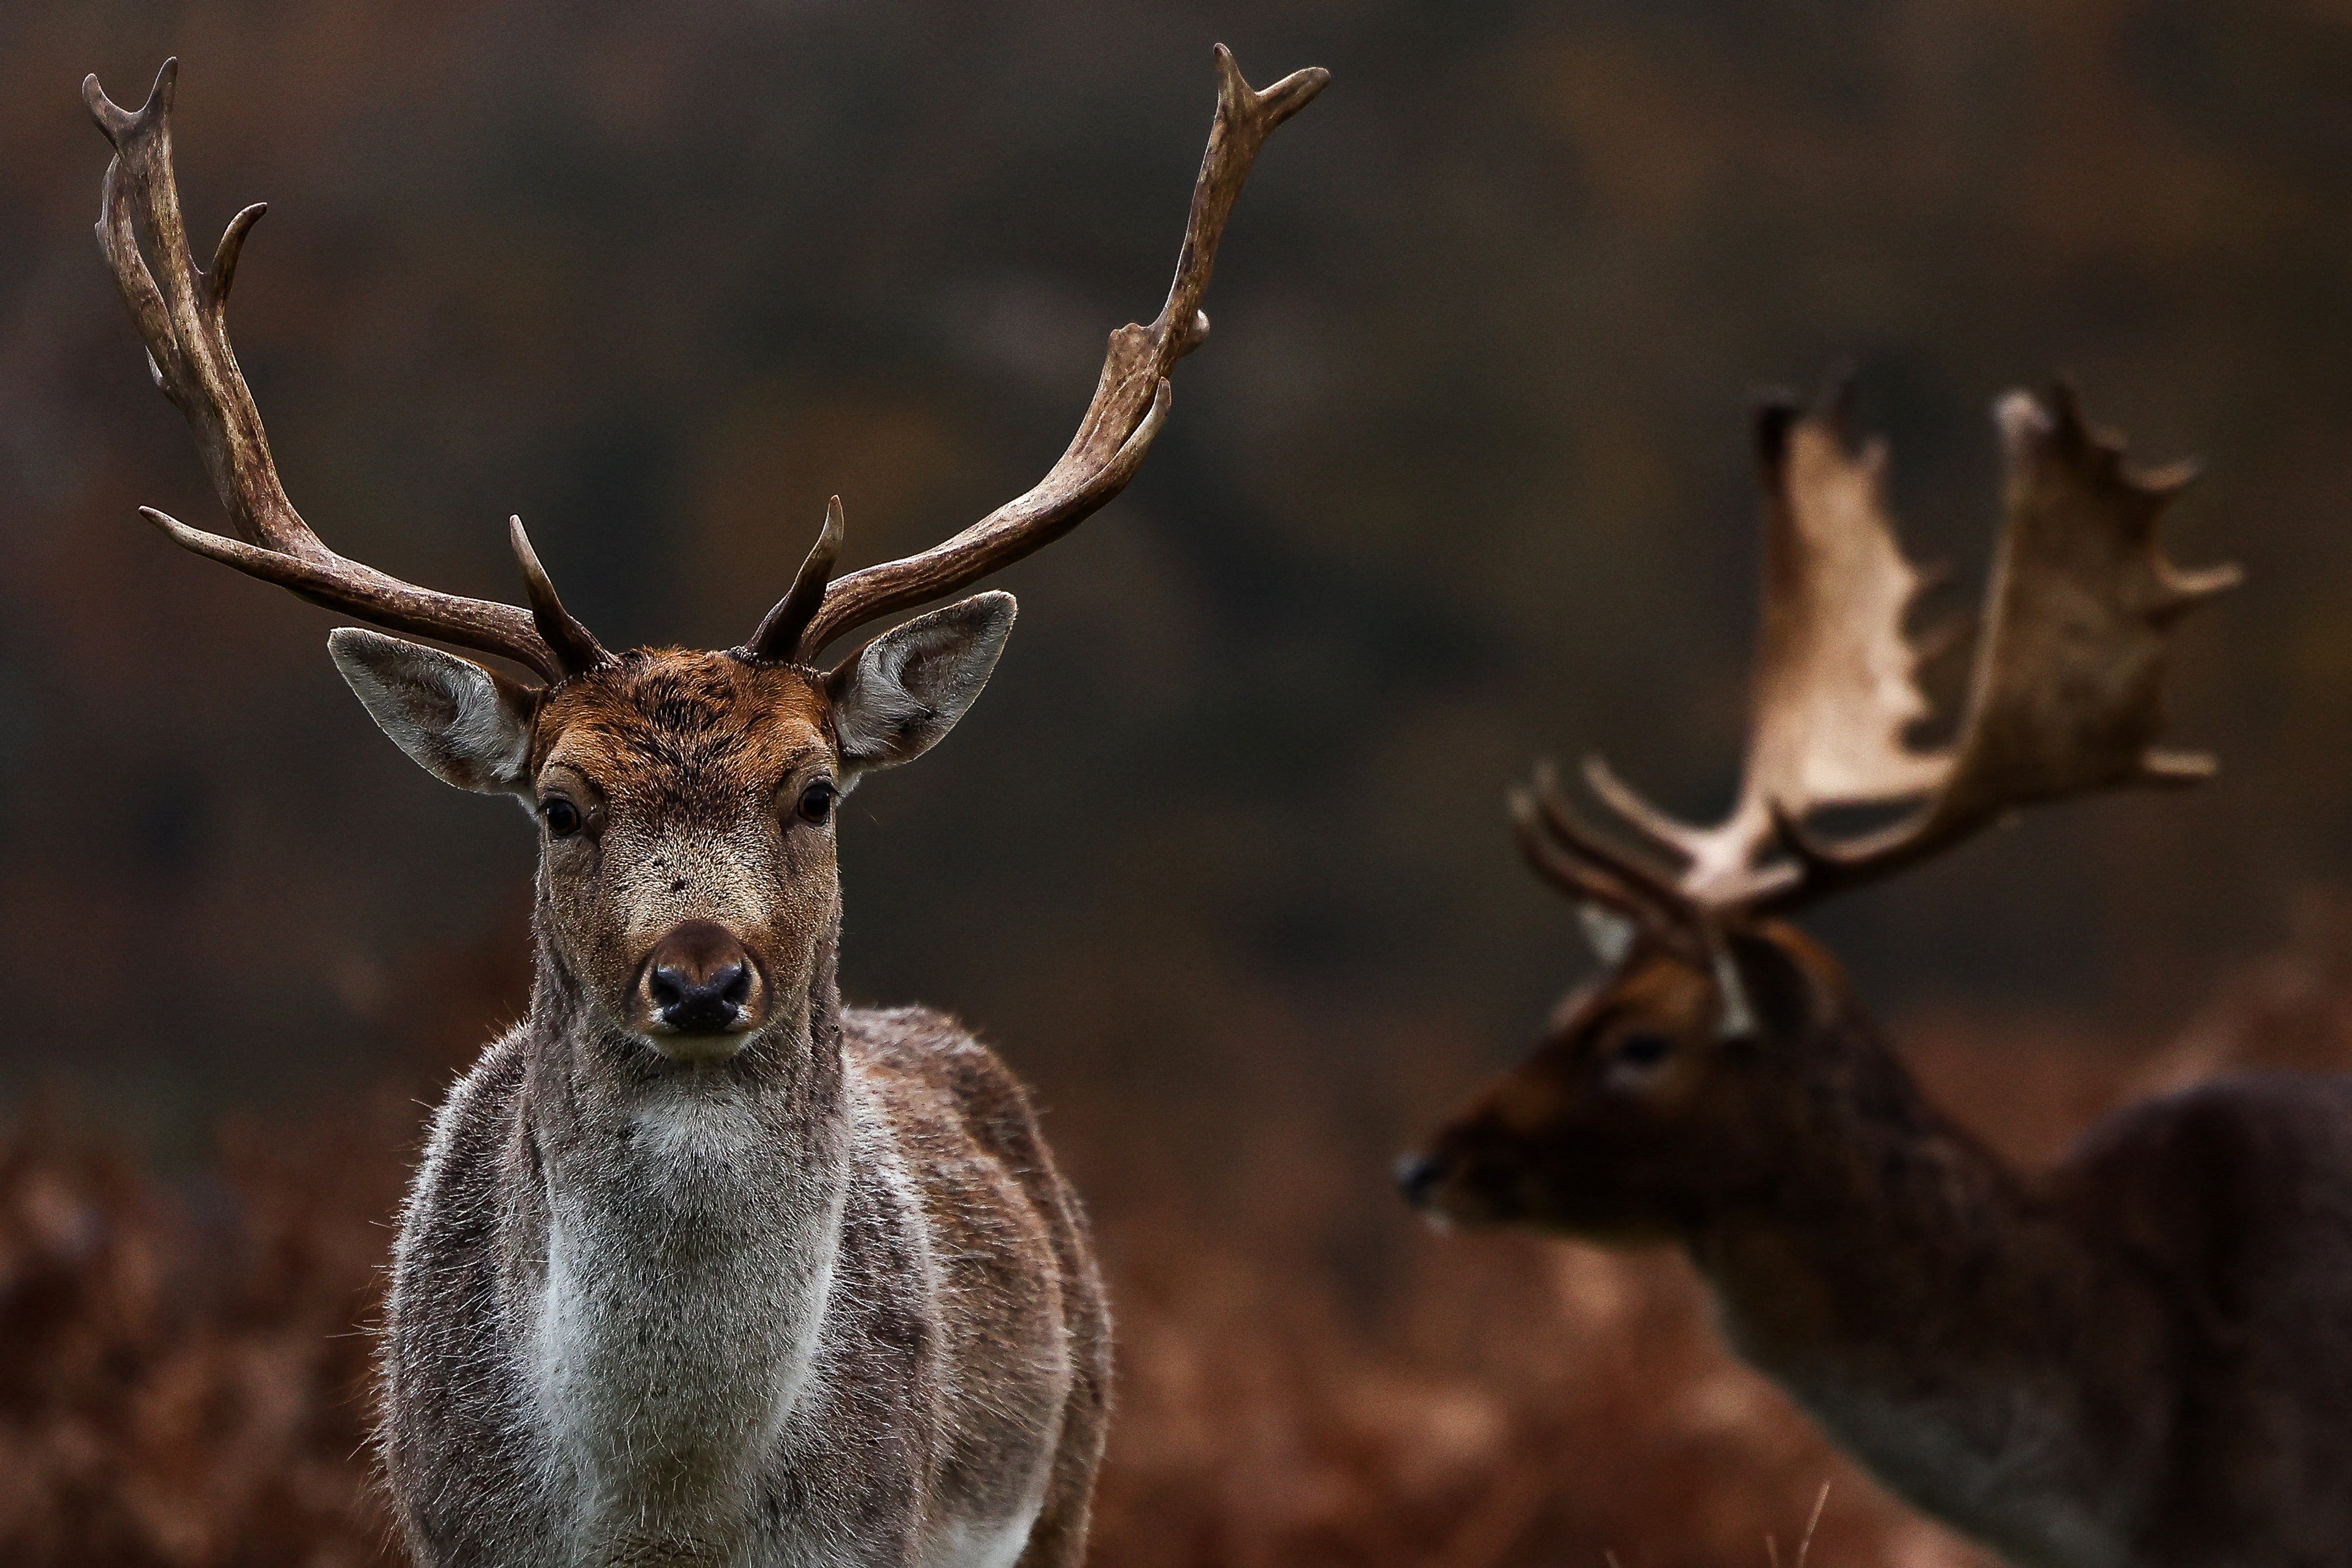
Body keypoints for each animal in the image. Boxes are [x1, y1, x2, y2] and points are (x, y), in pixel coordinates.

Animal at [87, 49, 1327, 1568]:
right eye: (560, 806)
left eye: (815, 790)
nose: (697, 978)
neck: (663, 1513)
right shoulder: (453, 1525)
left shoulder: (872, 1530)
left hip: (1072, 1471)